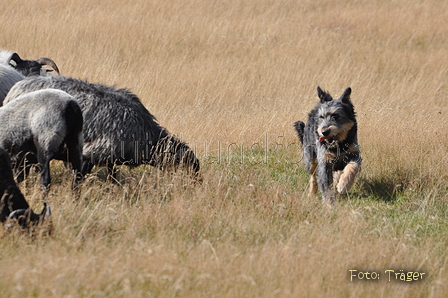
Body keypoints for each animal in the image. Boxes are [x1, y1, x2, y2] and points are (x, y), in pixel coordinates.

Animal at [3, 75, 200, 178]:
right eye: (189, 166)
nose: (197, 184)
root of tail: (18, 86)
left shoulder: (109, 158)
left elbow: (113, 177)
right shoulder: (91, 153)